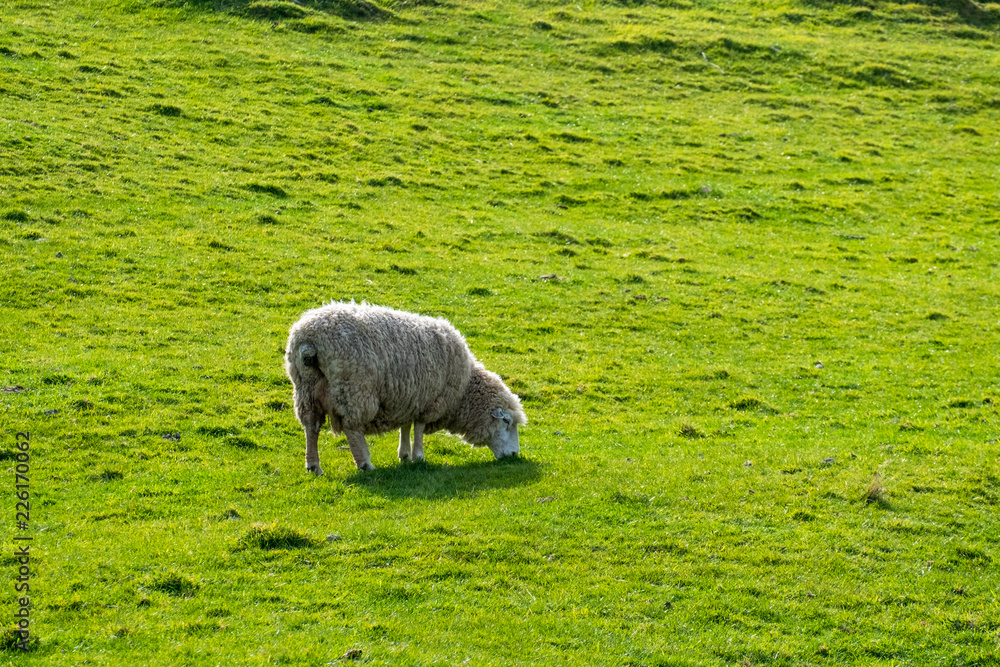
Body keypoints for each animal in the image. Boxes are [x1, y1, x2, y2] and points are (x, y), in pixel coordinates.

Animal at [285, 302, 527, 474]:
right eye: (506, 422)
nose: (515, 454)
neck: (463, 391)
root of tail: (309, 340)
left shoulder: (408, 398)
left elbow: (406, 426)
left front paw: (404, 455)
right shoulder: (429, 400)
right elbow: (418, 427)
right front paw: (418, 456)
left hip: (306, 388)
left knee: (311, 425)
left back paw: (314, 466)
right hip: (354, 388)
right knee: (352, 428)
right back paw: (365, 464)